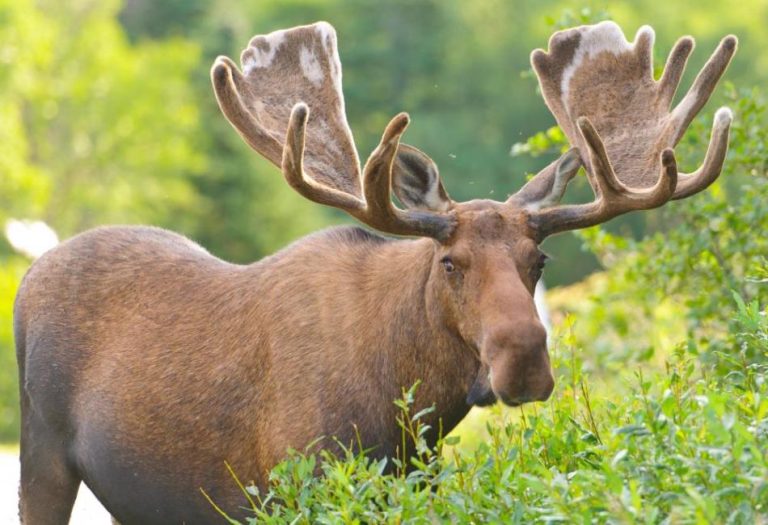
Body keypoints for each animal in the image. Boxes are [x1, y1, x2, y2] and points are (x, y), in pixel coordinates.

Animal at [15, 21, 736, 524]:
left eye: (540, 260)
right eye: (449, 261)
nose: (525, 359)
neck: (406, 402)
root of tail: (29, 274)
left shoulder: (416, 478)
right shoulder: (294, 482)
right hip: (41, 452)